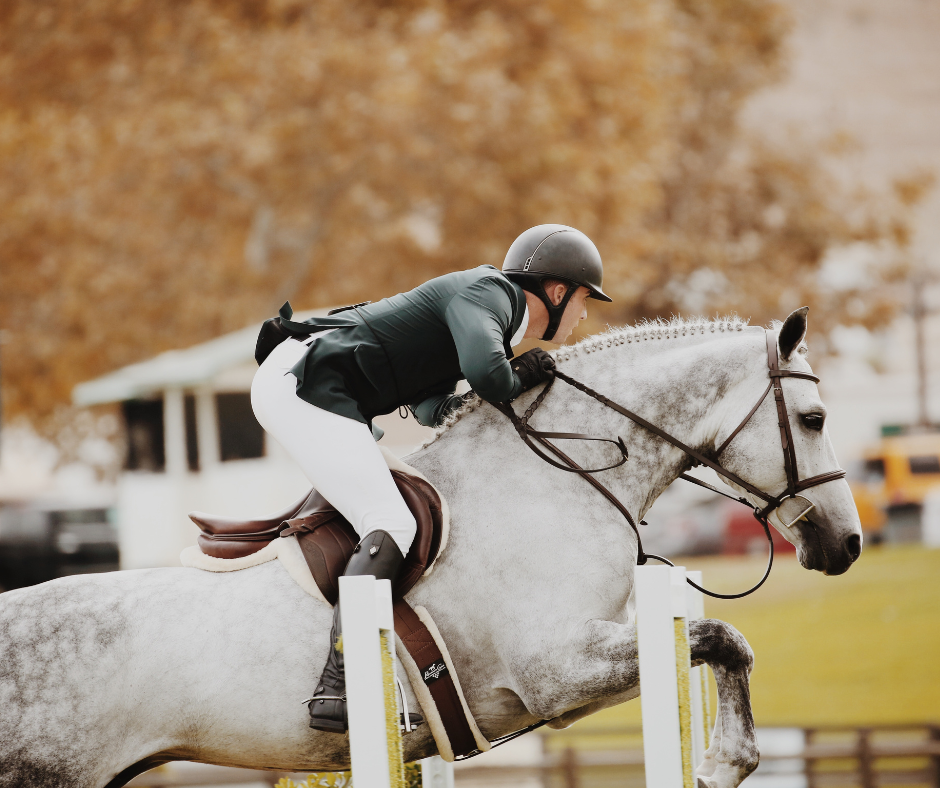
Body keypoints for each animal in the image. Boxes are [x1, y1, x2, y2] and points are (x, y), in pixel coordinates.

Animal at [0, 308, 860, 788]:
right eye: (814, 418)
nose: (846, 543)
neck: (555, 479)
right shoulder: (556, 669)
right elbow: (722, 636)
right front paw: (727, 762)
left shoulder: (571, 684)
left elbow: (721, 642)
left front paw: (725, 759)